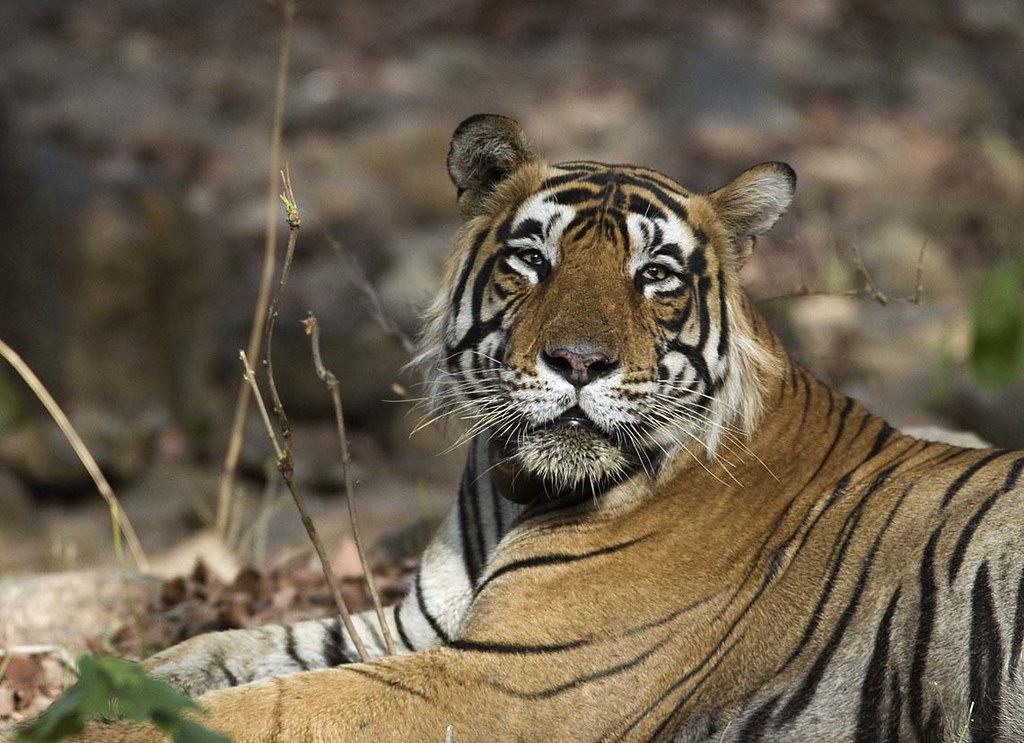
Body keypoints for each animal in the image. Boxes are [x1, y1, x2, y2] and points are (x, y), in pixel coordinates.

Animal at [68, 114, 1024, 742]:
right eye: (533, 259)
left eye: (655, 273)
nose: (579, 361)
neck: (518, 489)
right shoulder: (422, 628)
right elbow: (230, 649)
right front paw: (94, 685)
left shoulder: (503, 683)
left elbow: (262, 707)